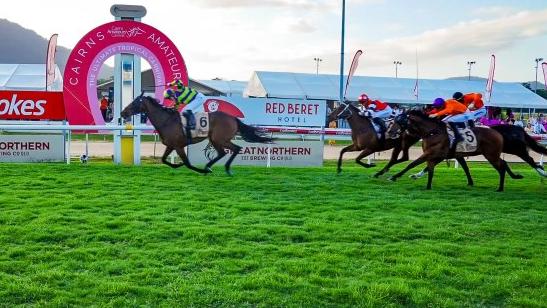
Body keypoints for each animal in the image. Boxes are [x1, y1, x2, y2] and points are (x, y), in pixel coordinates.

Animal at [121, 94, 272, 174]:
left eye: (134, 102)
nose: (123, 113)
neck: (166, 120)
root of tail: (233, 118)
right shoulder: (171, 145)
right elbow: (163, 159)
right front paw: (177, 165)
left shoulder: (179, 146)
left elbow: (188, 163)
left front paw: (199, 170)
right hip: (215, 139)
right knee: (223, 152)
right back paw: (212, 166)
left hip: (219, 139)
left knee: (235, 149)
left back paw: (220, 168)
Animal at [388, 109, 520, 191]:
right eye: (394, 120)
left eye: (400, 120)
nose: (390, 132)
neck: (432, 132)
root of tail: (497, 132)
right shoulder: (439, 155)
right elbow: (429, 169)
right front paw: (421, 180)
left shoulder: (431, 153)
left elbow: (412, 164)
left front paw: (394, 176)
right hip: (492, 155)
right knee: (504, 163)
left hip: (491, 155)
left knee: (501, 167)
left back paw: (500, 188)